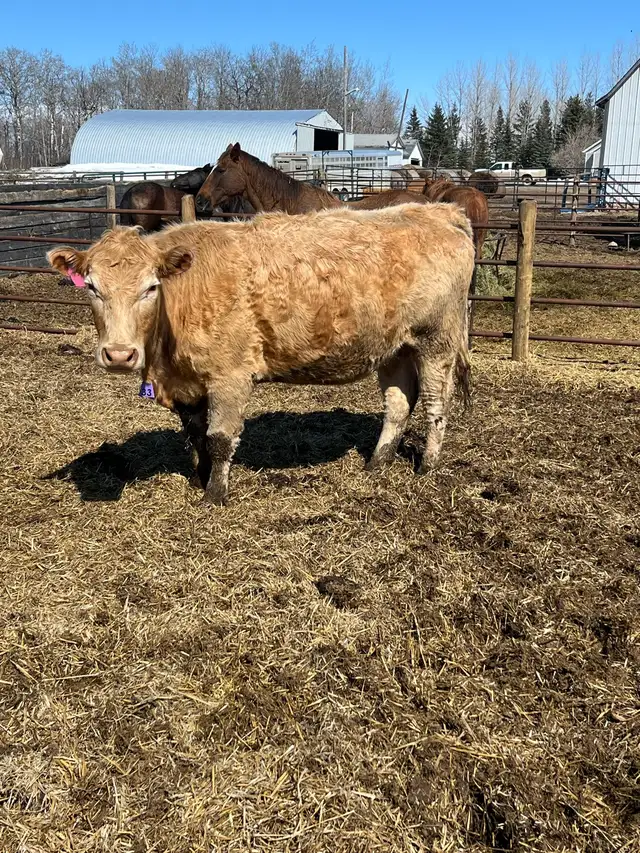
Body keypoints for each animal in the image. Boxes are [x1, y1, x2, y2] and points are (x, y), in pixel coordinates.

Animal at [48, 203, 474, 505]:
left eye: (150, 288)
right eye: (91, 287)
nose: (119, 354)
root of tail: (439, 211)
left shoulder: (230, 376)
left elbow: (219, 438)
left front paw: (214, 496)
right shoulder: (189, 383)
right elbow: (196, 434)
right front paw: (200, 477)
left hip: (436, 340)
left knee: (436, 403)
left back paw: (427, 465)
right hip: (394, 349)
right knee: (399, 404)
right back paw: (376, 463)